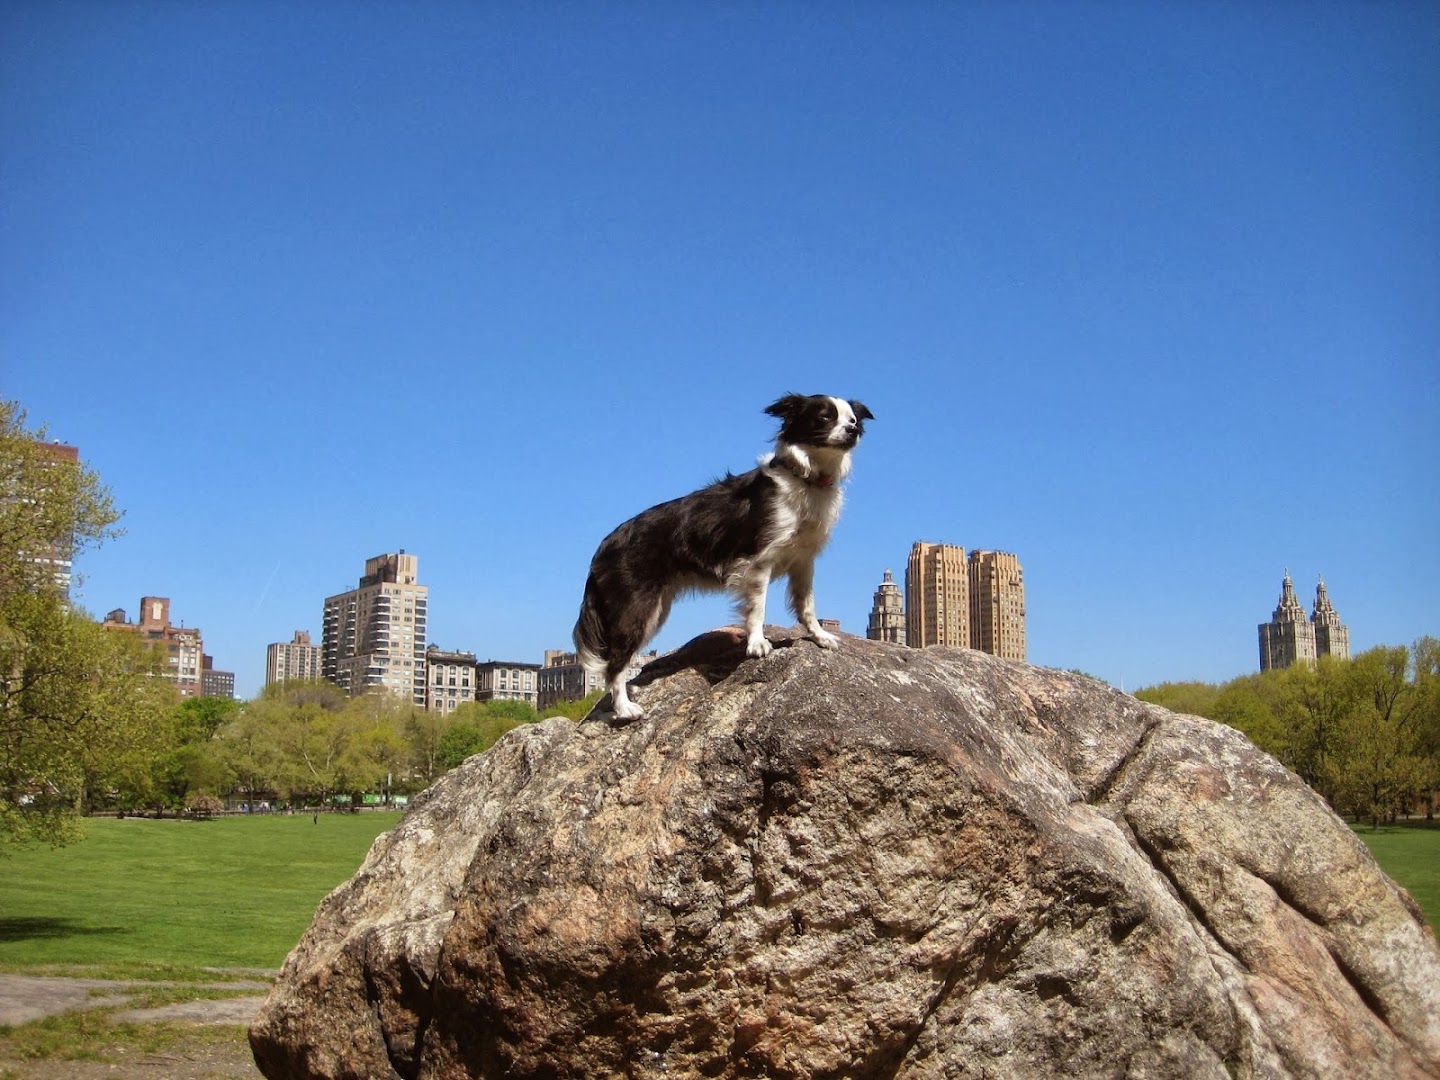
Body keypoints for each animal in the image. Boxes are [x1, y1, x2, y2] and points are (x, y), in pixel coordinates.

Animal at [570, 394, 864, 722]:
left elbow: (807, 606)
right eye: (825, 417)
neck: (807, 478)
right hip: (636, 608)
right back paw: (624, 708)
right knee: (615, 663)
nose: (853, 431)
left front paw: (820, 637)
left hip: (655, 609)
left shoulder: (803, 561)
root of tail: (605, 544)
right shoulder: (758, 562)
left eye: (853, 419)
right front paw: (757, 644)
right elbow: (757, 609)